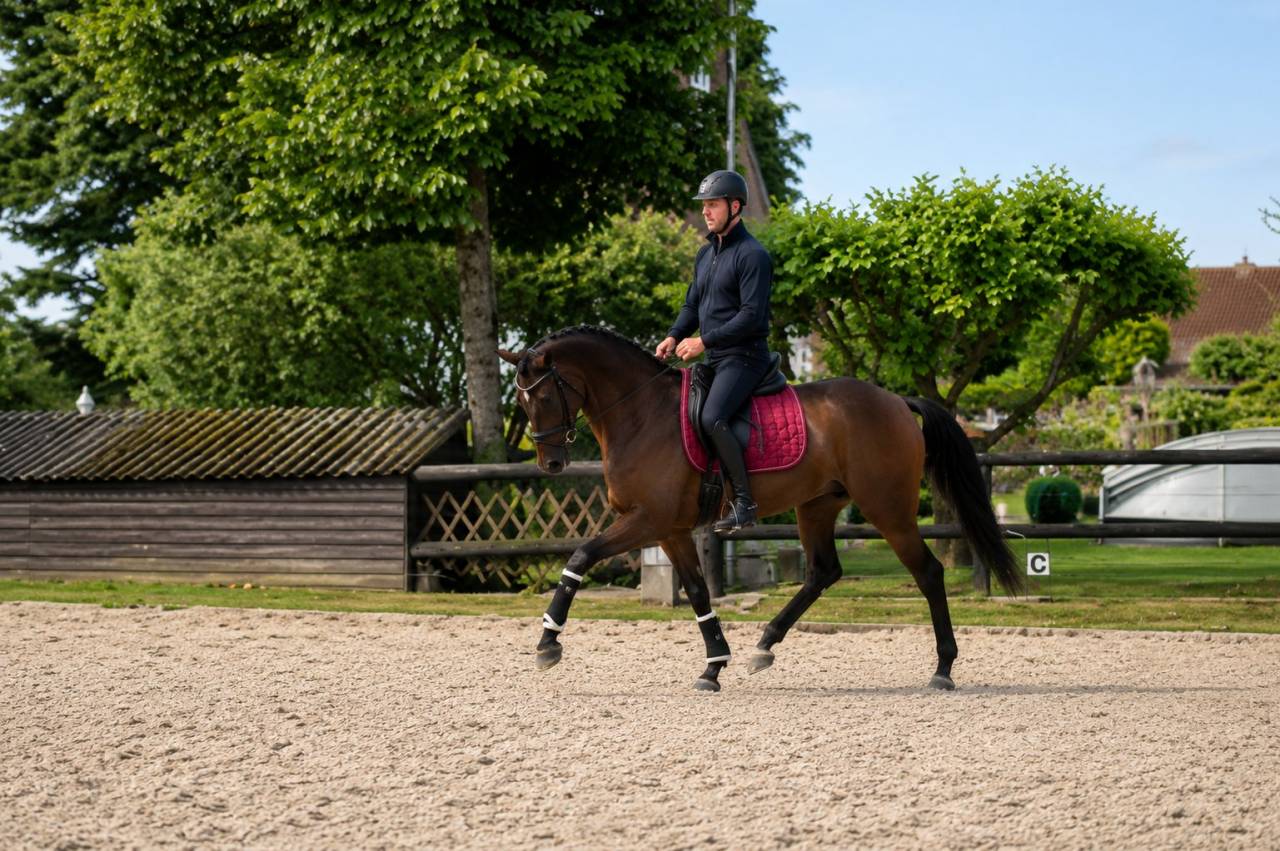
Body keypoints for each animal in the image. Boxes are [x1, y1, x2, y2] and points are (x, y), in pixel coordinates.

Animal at [498, 325, 1021, 692]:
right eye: (522, 400)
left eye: (541, 395)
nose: (550, 463)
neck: (642, 413)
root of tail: (895, 400)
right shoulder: (670, 530)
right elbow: (698, 593)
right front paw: (713, 666)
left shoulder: (647, 520)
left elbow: (580, 556)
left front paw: (548, 641)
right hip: (816, 506)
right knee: (822, 572)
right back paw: (764, 645)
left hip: (887, 508)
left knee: (928, 572)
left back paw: (944, 668)